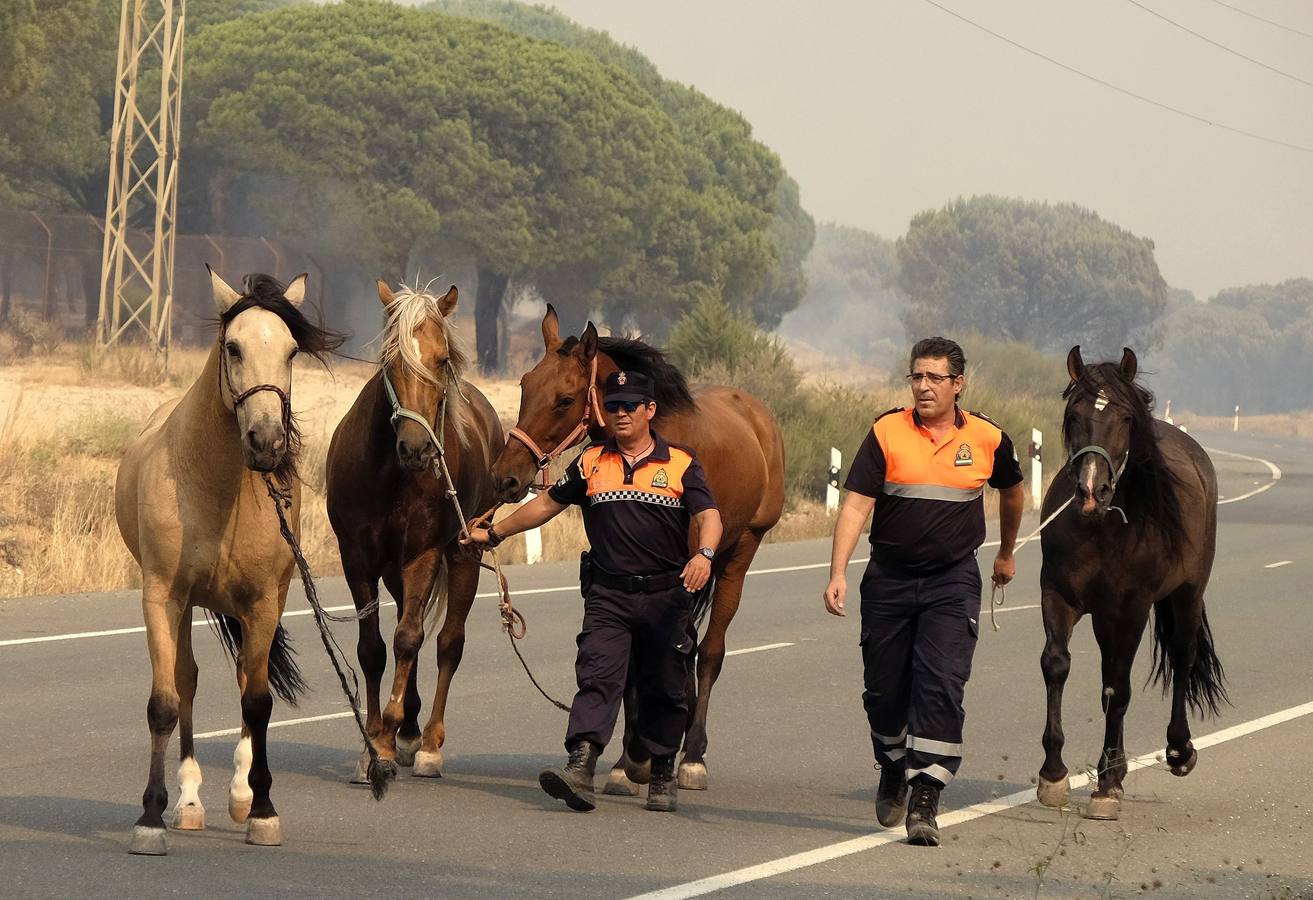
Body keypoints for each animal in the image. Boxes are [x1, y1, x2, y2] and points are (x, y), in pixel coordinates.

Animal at [115, 268, 346, 856]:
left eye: (291, 350)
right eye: (232, 346)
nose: (266, 441)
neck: (216, 488)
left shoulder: (263, 603)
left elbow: (257, 702)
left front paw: (261, 811)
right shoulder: (163, 595)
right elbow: (165, 702)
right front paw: (150, 818)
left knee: (245, 680)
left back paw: (240, 795)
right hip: (186, 606)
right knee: (187, 681)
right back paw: (190, 804)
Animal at [325, 281, 504, 777]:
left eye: (442, 360)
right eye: (391, 361)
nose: (416, 447)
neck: (391, 474)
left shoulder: (423, 555)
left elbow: (408, 640)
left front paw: (386, 737)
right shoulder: (357, 558)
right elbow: (373, 649)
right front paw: (375, 741)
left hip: (464, 554)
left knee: (446, 643)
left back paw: (427, 744)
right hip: (394, 572)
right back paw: (408, 730)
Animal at [491, 308, 777, 793]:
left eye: (565, 399)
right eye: (526, 386)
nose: (505, 476)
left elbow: (670, 656)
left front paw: (646, 754)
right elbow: (629, 661)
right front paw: (629, 761)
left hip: (740, 551)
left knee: (708, 653)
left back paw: (692, 754)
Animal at [1034, 346, 1228, 819]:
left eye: (1124, 417)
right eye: (1073, 414)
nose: (1091, 491)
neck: (1101, 527)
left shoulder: (1130, 608)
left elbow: (1117, 689)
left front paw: (1106, 786)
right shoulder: (1059, 596)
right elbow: (1057, 665)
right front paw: (1054, 775)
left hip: (1186, 592)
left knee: (1181, 656)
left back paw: (1178, 751)